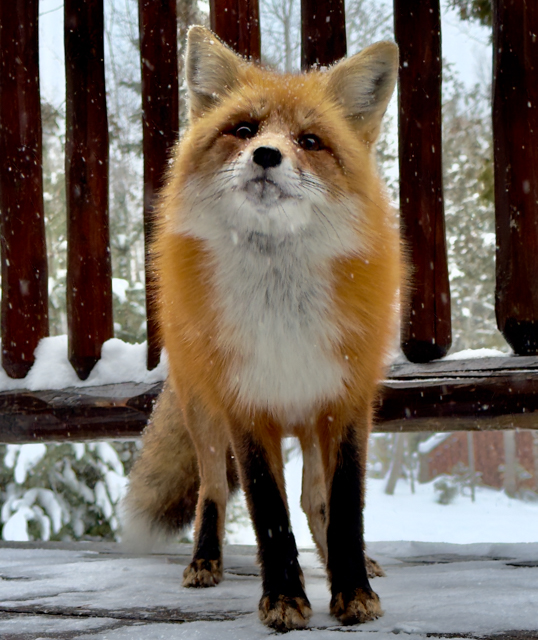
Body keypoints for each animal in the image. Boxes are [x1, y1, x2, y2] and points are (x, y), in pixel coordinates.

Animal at [123, 25, 400, 632]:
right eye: (245, 129)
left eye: (311, 140)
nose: (266, 155)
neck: (281, 312)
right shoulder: (245, 405)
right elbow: (268, 511)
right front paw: (284, 600)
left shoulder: (346, 400)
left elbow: (344, 506)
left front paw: (352, 589)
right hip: (203, 415)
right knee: (212, 489)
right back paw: (205, 560)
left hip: (313, 420)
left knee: (314, 499)